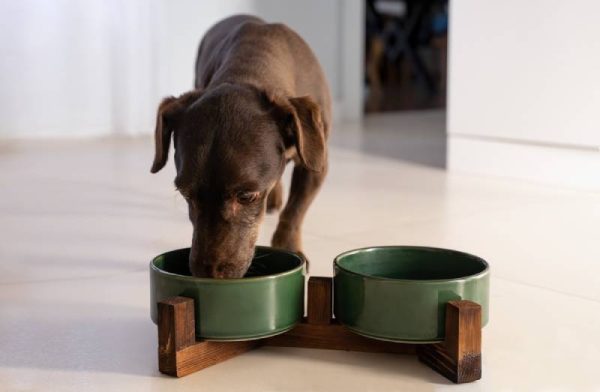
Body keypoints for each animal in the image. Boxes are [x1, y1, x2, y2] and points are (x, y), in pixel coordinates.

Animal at [149, 15, 328, 278]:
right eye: (185, 194)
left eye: (246, 196)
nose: (208, 274)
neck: (250, 71)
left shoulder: (315, 163)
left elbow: (294, 212)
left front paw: (289, 246)